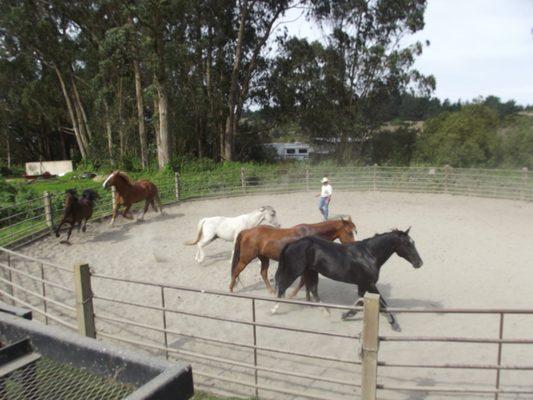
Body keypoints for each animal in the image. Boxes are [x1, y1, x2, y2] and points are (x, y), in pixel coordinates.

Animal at [230, 219, 358, 294]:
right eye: (349, 232)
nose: (354, 247)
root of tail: (247, 231)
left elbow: (304, 282)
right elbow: (302, 282)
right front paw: (292, 296)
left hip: (264, 258)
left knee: (263, 273)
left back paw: (271, 291)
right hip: (245, 259)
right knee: (236, 271)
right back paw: (231, 289)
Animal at [272, 228, 422, 332]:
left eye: (413, 243)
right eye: (407, 244)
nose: (419, 263)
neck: (368, 255)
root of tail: (292, 243)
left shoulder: (363, 285)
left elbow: (361, 302)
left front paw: (346, 314)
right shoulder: (369, 283)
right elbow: (383, 302)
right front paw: (394, 324)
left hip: (311, 271)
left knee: (313, 290)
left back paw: (326, 312)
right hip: (295, 270)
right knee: (283, 286)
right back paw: (274, 309)